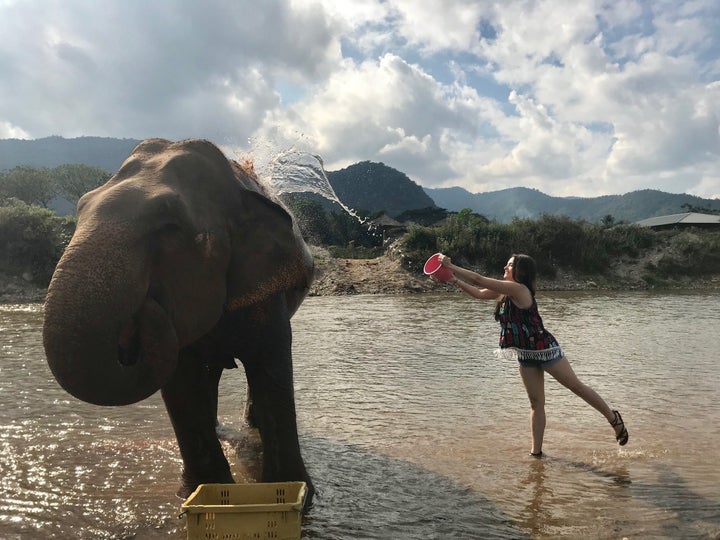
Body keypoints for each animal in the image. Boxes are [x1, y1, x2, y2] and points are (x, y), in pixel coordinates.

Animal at [44, 136, 316, 506]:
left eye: (170, 227)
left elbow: (269, 365)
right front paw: (201, 493)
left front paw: (296, 494)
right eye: (81, 206)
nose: (146, 304)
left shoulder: (265, 290)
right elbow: (181, 379)